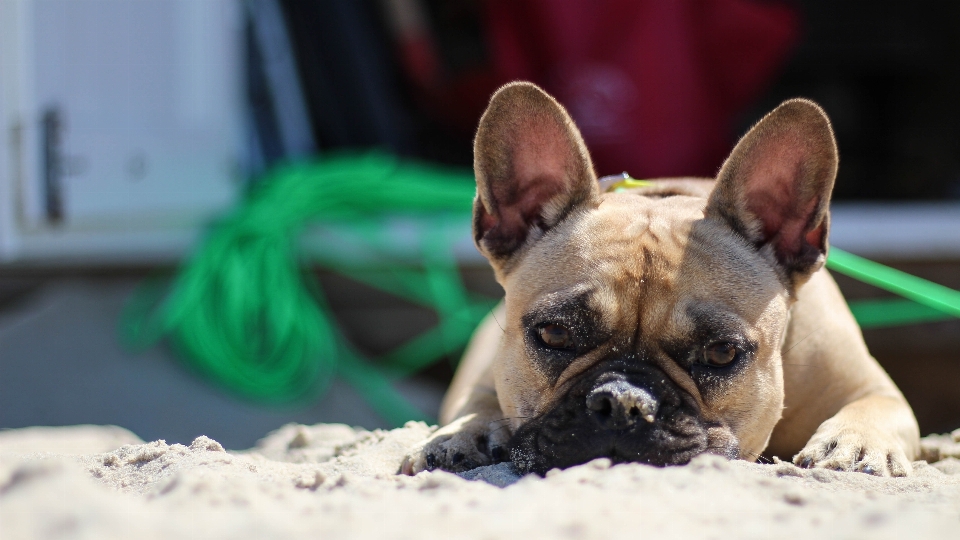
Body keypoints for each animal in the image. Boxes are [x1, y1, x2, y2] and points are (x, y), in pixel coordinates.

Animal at [402, 80, 920, 476]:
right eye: (553, 333)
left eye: (722, 353)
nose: (622, 401)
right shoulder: (486, 373)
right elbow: (477, 403)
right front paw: (464, 433)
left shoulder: (870, 386)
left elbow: (877, 407)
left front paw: (854, 441)